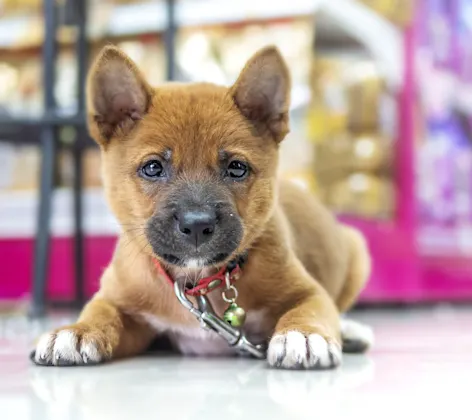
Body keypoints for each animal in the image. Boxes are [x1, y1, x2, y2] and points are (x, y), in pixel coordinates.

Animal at [33, 44, 372, 370]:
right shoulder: (119, 301)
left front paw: (303, 335)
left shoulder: (308, 291)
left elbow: (310, 310)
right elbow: (100, 311)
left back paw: (350, 330)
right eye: (152, 167)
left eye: (237, 168)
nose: (197, 225)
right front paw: (76, 331)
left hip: (356, 252)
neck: (197, 282)